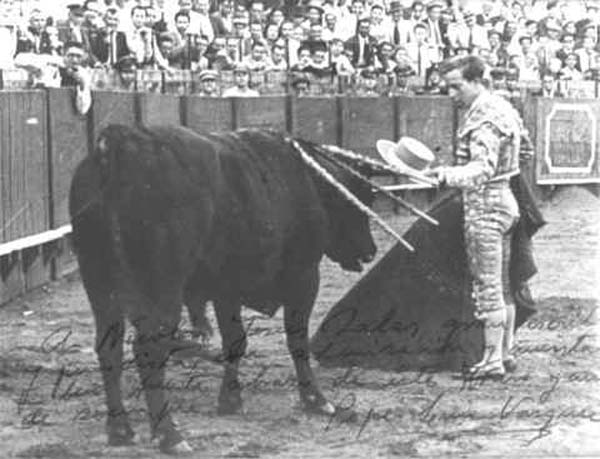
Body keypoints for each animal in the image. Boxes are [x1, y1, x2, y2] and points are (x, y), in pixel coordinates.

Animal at [69, 124, 376, 454]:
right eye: (359, 199)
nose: (371, 251)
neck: (307, 182)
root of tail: (122, 143)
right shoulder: (304, 277)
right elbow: (297, 342)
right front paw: (318, 402)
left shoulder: (225, 289)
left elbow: (236, 342)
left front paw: (230, 400)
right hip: (162, 290)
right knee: (148, 349)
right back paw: (170, 436)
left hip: (99, 284)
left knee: (108, 347)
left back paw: (120, 429)